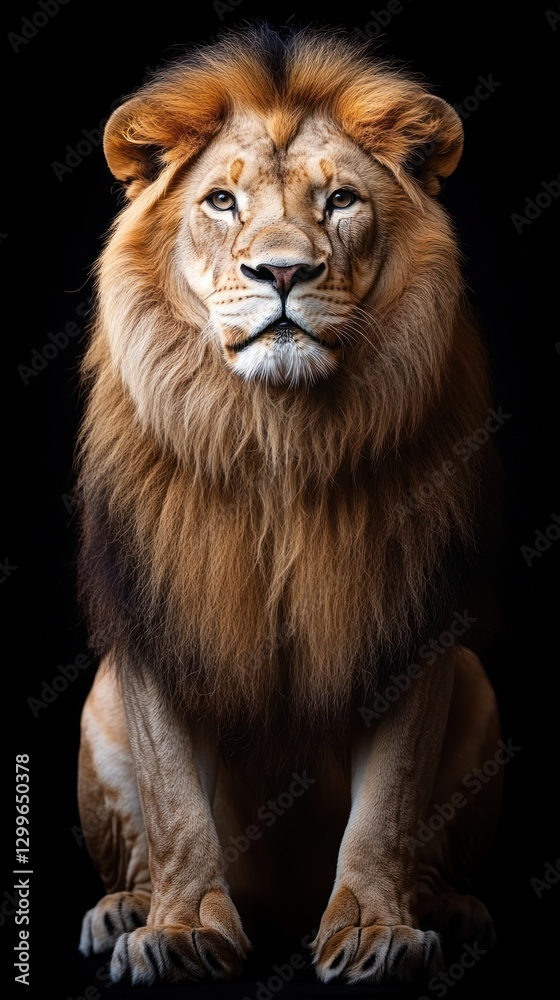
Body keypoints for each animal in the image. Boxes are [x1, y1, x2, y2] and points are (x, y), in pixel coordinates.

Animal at [75, 26, 503, 987]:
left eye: (340, 200)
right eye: (221, 201)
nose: (281, 270)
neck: (278, 439)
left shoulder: (413, 626)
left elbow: (388, 809)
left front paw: (376, 930)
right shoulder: (157, 621)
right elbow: (175, 804)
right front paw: (180, 929)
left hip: (478, 682)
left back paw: (448, 908)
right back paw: (122, 910)